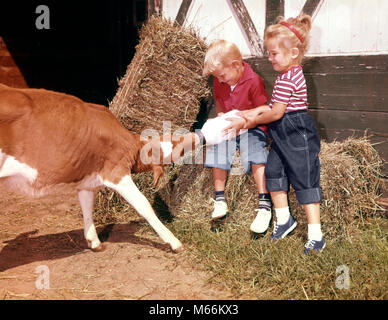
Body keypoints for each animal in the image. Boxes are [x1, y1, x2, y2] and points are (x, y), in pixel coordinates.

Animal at [0, 84, 200, 254]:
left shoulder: (87, 180)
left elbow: (87, 207)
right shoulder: (116, 172)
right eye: (177, 148)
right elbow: (144, 205)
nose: (196, 136)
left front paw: (94, 242)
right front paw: (173, 242)